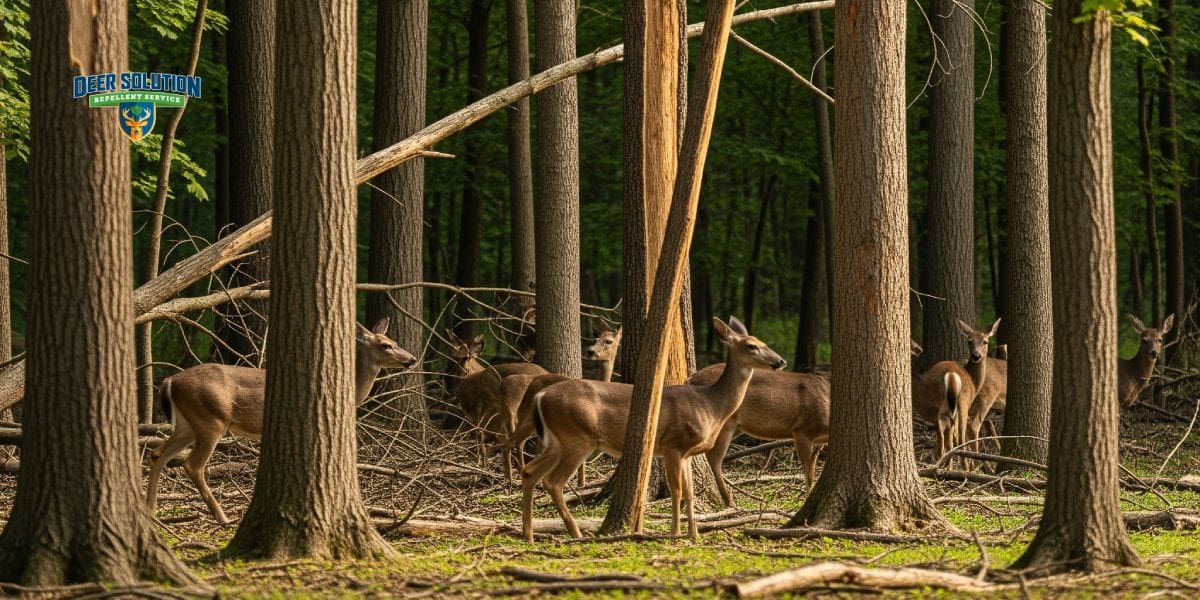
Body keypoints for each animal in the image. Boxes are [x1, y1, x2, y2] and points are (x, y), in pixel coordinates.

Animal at [145, 318, 417, 524]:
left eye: (396, 342)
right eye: (385, 345)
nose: (412, 359)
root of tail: (170, 381)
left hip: (187, 424)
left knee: (158, 453)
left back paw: (151, 512)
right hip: (211, 420)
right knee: (192, 465)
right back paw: (222, 517)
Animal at [500, 326, 623, 481]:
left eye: (608, 341)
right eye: (595, 339)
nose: (590, 351)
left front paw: (581, 483)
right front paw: (580, 482)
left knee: (523, 445)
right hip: (526, 416)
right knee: (512, 444)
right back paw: (510, 480)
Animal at [521, 317, 786, 542]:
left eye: (764, 343)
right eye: (752, 346)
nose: (780, 361)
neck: (711, 405)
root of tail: (541, 396)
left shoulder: (687, 452)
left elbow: (690, 492)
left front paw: (694, 535)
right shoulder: (673, 444)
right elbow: (677, 490)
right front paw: (676, 533)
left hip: (556, 441)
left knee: (529, 471)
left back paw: (530, 535)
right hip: (577, 438)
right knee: (553, 481)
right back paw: (575, 533)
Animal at [686, 365, 830, 506]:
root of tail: (691, 379)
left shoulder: (817, 442)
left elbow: (812, 470)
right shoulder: (802, 429)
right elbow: (808, 472)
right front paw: (807, 499)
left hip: (735, 427)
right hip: (723, 422)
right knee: (714, 457)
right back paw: (729, 501)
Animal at [911, 318, 1000, 462]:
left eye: (985, 341)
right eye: (969, 341)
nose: (976, 355)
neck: (973, 381)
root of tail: (950, 376)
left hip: (937, 405)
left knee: (943, 438)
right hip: (961, 402)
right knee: (961, 436)